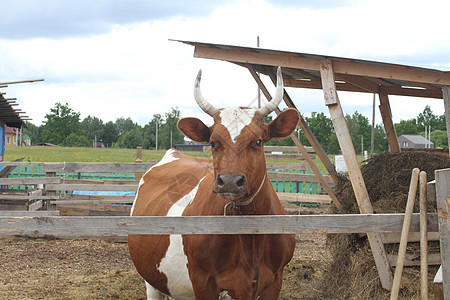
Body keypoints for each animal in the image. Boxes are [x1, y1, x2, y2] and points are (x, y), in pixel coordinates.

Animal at [128, 67, 298, 298]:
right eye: (213, 142)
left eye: (258, 141)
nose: (230, 181)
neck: (251, 237)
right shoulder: (203, 283)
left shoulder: (274, 282)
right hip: (151, 278)